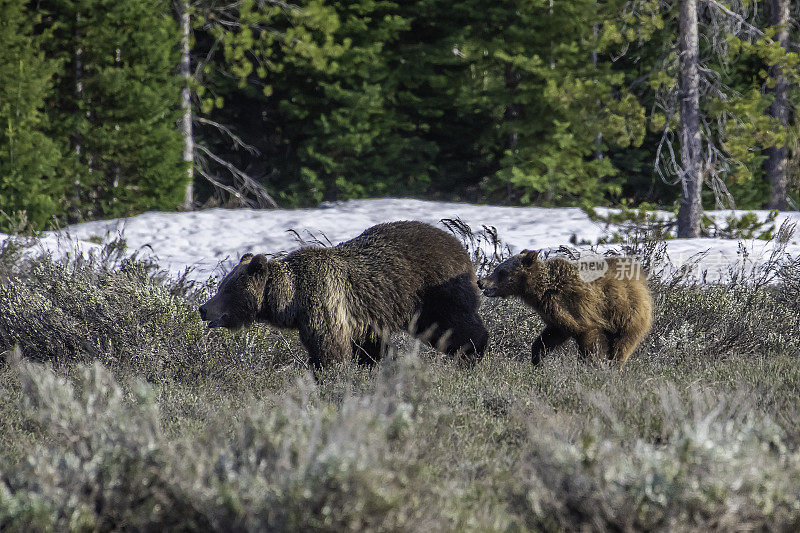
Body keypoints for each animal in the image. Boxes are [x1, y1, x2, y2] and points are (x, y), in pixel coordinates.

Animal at [200, 220, 488, 370]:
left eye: (227, 289)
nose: (203, 308)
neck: (292, 298)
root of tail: (459, 244)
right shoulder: (363, 320)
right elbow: (370, 348)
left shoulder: (325, 303)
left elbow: (329, 350)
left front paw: (327, 376)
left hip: (434, 292)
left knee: (453, 326)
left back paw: (472, 353)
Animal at [478, 249, 652, 366]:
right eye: (497, 268)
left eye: (502, 271)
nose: (481, 282)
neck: (542, 291)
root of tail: (641, 281)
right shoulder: (556, 316)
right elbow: (548, 338)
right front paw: (537, 361)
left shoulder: (576, 306)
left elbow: (589, 339)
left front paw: (591, 365)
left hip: (626, 314)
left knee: (621, 345)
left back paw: (615, 365)